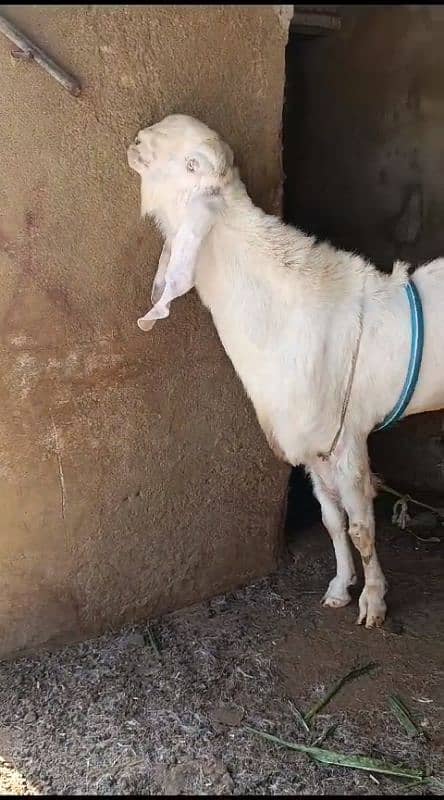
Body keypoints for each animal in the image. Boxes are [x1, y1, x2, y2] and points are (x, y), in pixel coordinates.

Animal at [126, 112, 444, 628]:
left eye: (192, 163)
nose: (136, 142)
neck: (289, 309)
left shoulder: (347, 440)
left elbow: (362, 528)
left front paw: (373, 603)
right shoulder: (313, 444)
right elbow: (332, 521)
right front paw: (339, 588)